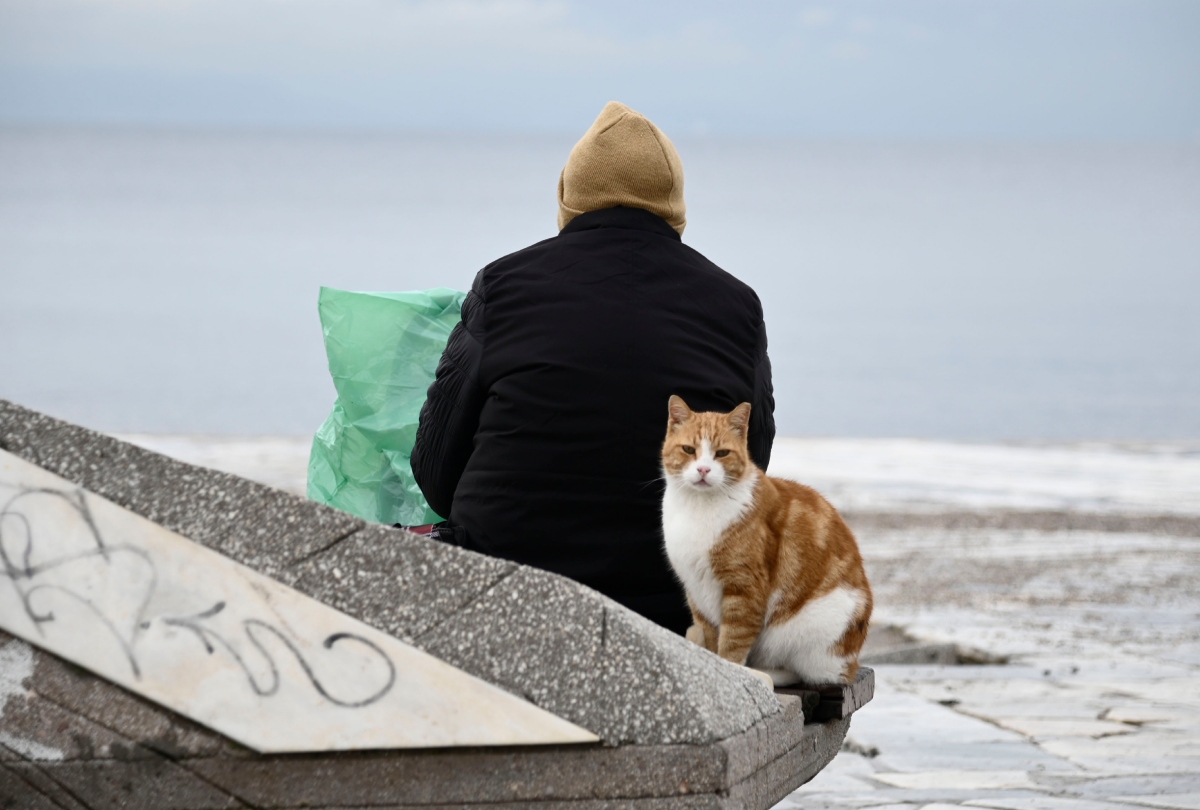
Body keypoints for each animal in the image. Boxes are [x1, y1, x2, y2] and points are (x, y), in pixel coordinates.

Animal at [667, 396, 873, 686]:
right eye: (688, 449)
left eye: (722, 453)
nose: (704, 469)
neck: (697, 508)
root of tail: (852, 664)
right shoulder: (696, 591)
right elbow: (711, 638)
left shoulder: (745, 589)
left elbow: (733, 643)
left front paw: (732, 671)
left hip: (813, 625)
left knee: (806, 672)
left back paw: (763, 674)